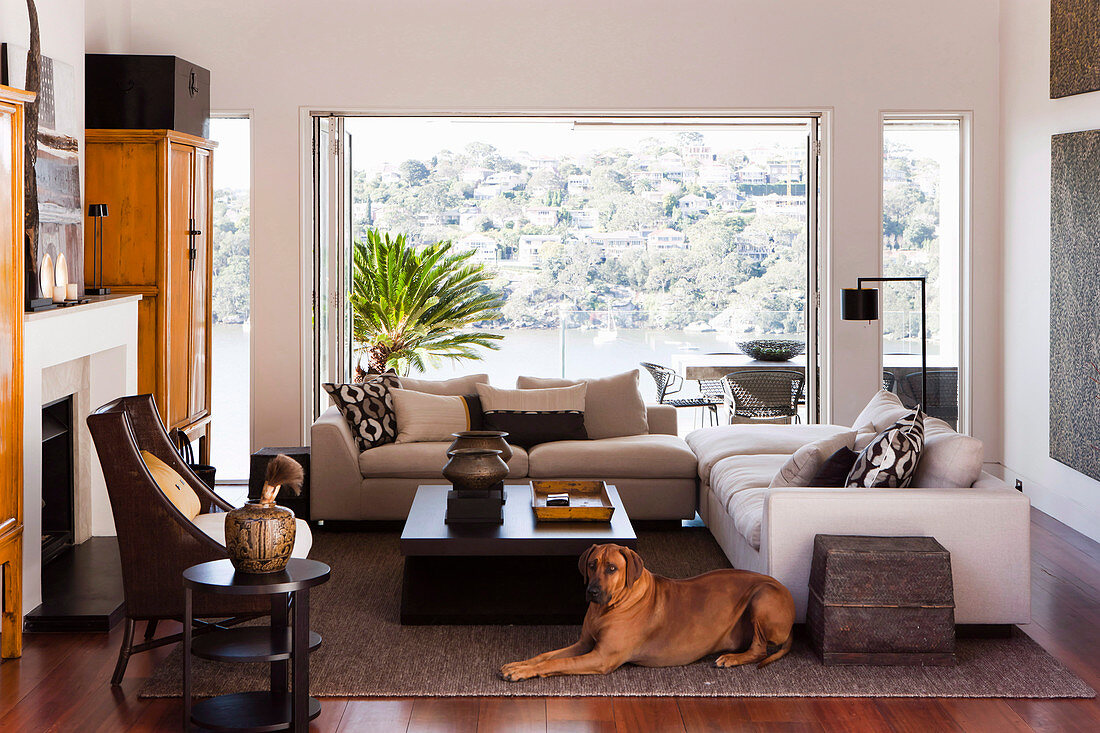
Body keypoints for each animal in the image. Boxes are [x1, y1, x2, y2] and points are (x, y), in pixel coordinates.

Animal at [503, 539, 796, 682]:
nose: (592, 592)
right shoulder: (584, 644)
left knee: (760, 649)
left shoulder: (601, 658)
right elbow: (546, 655)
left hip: (762, 597)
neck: (611, 607)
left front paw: (524, 672)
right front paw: (520, 664)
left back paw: (731, 659)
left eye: (612, 568)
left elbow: (557, 662)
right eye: (592, 564)